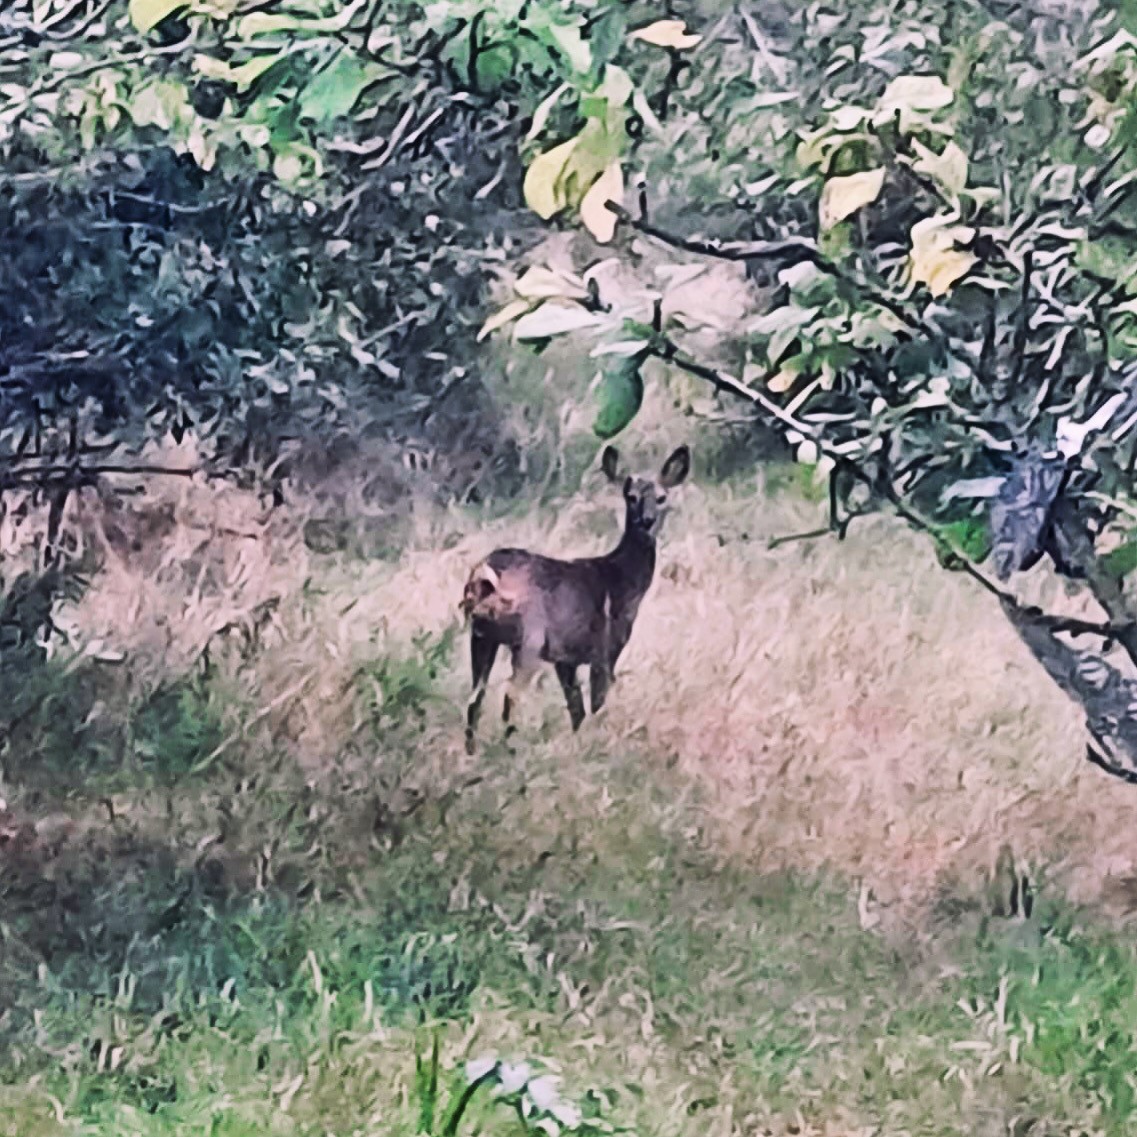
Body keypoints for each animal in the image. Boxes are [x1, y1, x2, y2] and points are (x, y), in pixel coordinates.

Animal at [459, 443, 690, 752]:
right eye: (631, 497)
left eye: (662, 498)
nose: (647, 521)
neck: (620, 579)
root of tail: (485, 574)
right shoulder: (605, 650)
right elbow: (596, 706)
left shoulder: (565, 659)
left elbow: (576, 711)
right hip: (527, 638)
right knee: (511, 694)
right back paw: (509, 747)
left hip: (481, 635)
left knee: (475, 697)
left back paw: (472, 752)